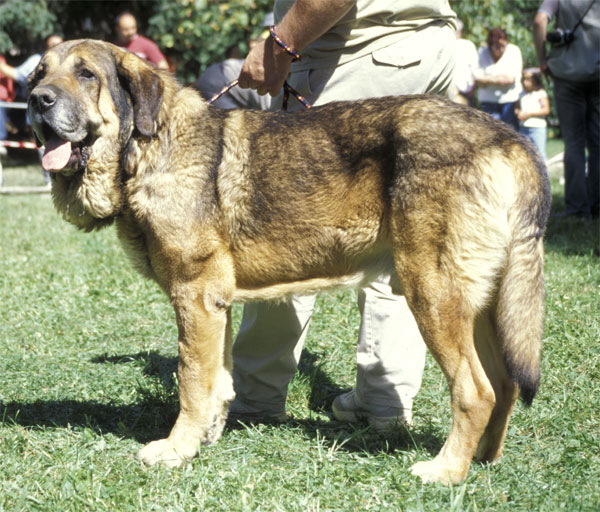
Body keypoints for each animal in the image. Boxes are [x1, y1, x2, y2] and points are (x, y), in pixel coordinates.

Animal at [29, 40, 552, 484]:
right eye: (40, 71)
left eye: (86, 73)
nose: (37, 100)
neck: (149, 146)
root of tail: (509, 140)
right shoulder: (216, 304)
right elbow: (218, 380)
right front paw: (205, 439)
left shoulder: (194, 297)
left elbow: (191, 380)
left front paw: (176, 449)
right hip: (480, 304)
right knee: (504, 384)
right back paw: (484, 458)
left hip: (432, 293)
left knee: (475, 390)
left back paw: (446, 471)